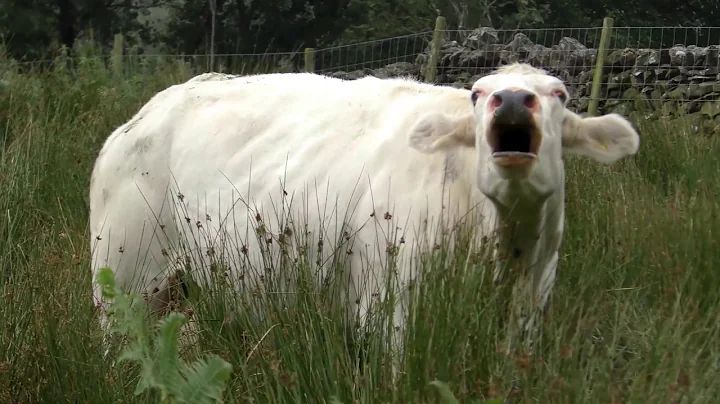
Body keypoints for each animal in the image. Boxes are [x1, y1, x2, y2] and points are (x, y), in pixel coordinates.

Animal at [88, 63, 639, 371]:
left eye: (560, 94)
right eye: (477, 93)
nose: (512, 101)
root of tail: (151, 109)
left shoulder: (527, 314)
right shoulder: (390, 309)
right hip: (125, 280)